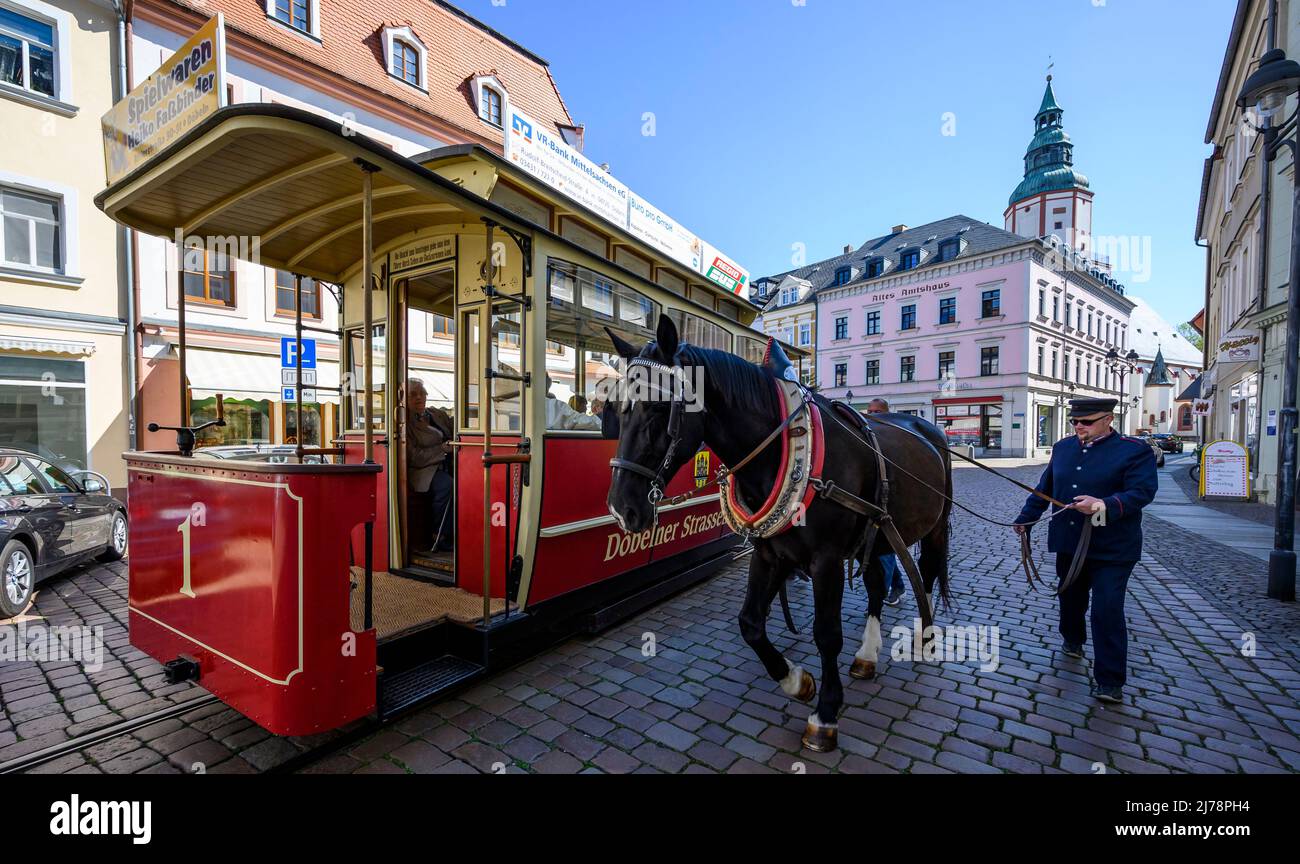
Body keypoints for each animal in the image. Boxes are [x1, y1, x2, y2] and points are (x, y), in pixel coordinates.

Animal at [603, 315, 951, 748]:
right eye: (615, 410)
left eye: (656, 409)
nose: (621, 508)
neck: (781, 450)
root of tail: (926, 426)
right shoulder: (769, 552)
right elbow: (750, 622)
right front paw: (797, 681)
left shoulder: (826, 561)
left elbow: (827, 634)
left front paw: (826, 713)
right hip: (879, 533)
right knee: (875, 583)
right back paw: (867, 656)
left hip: (933, 527)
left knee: (930, 571)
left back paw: (926, 636)